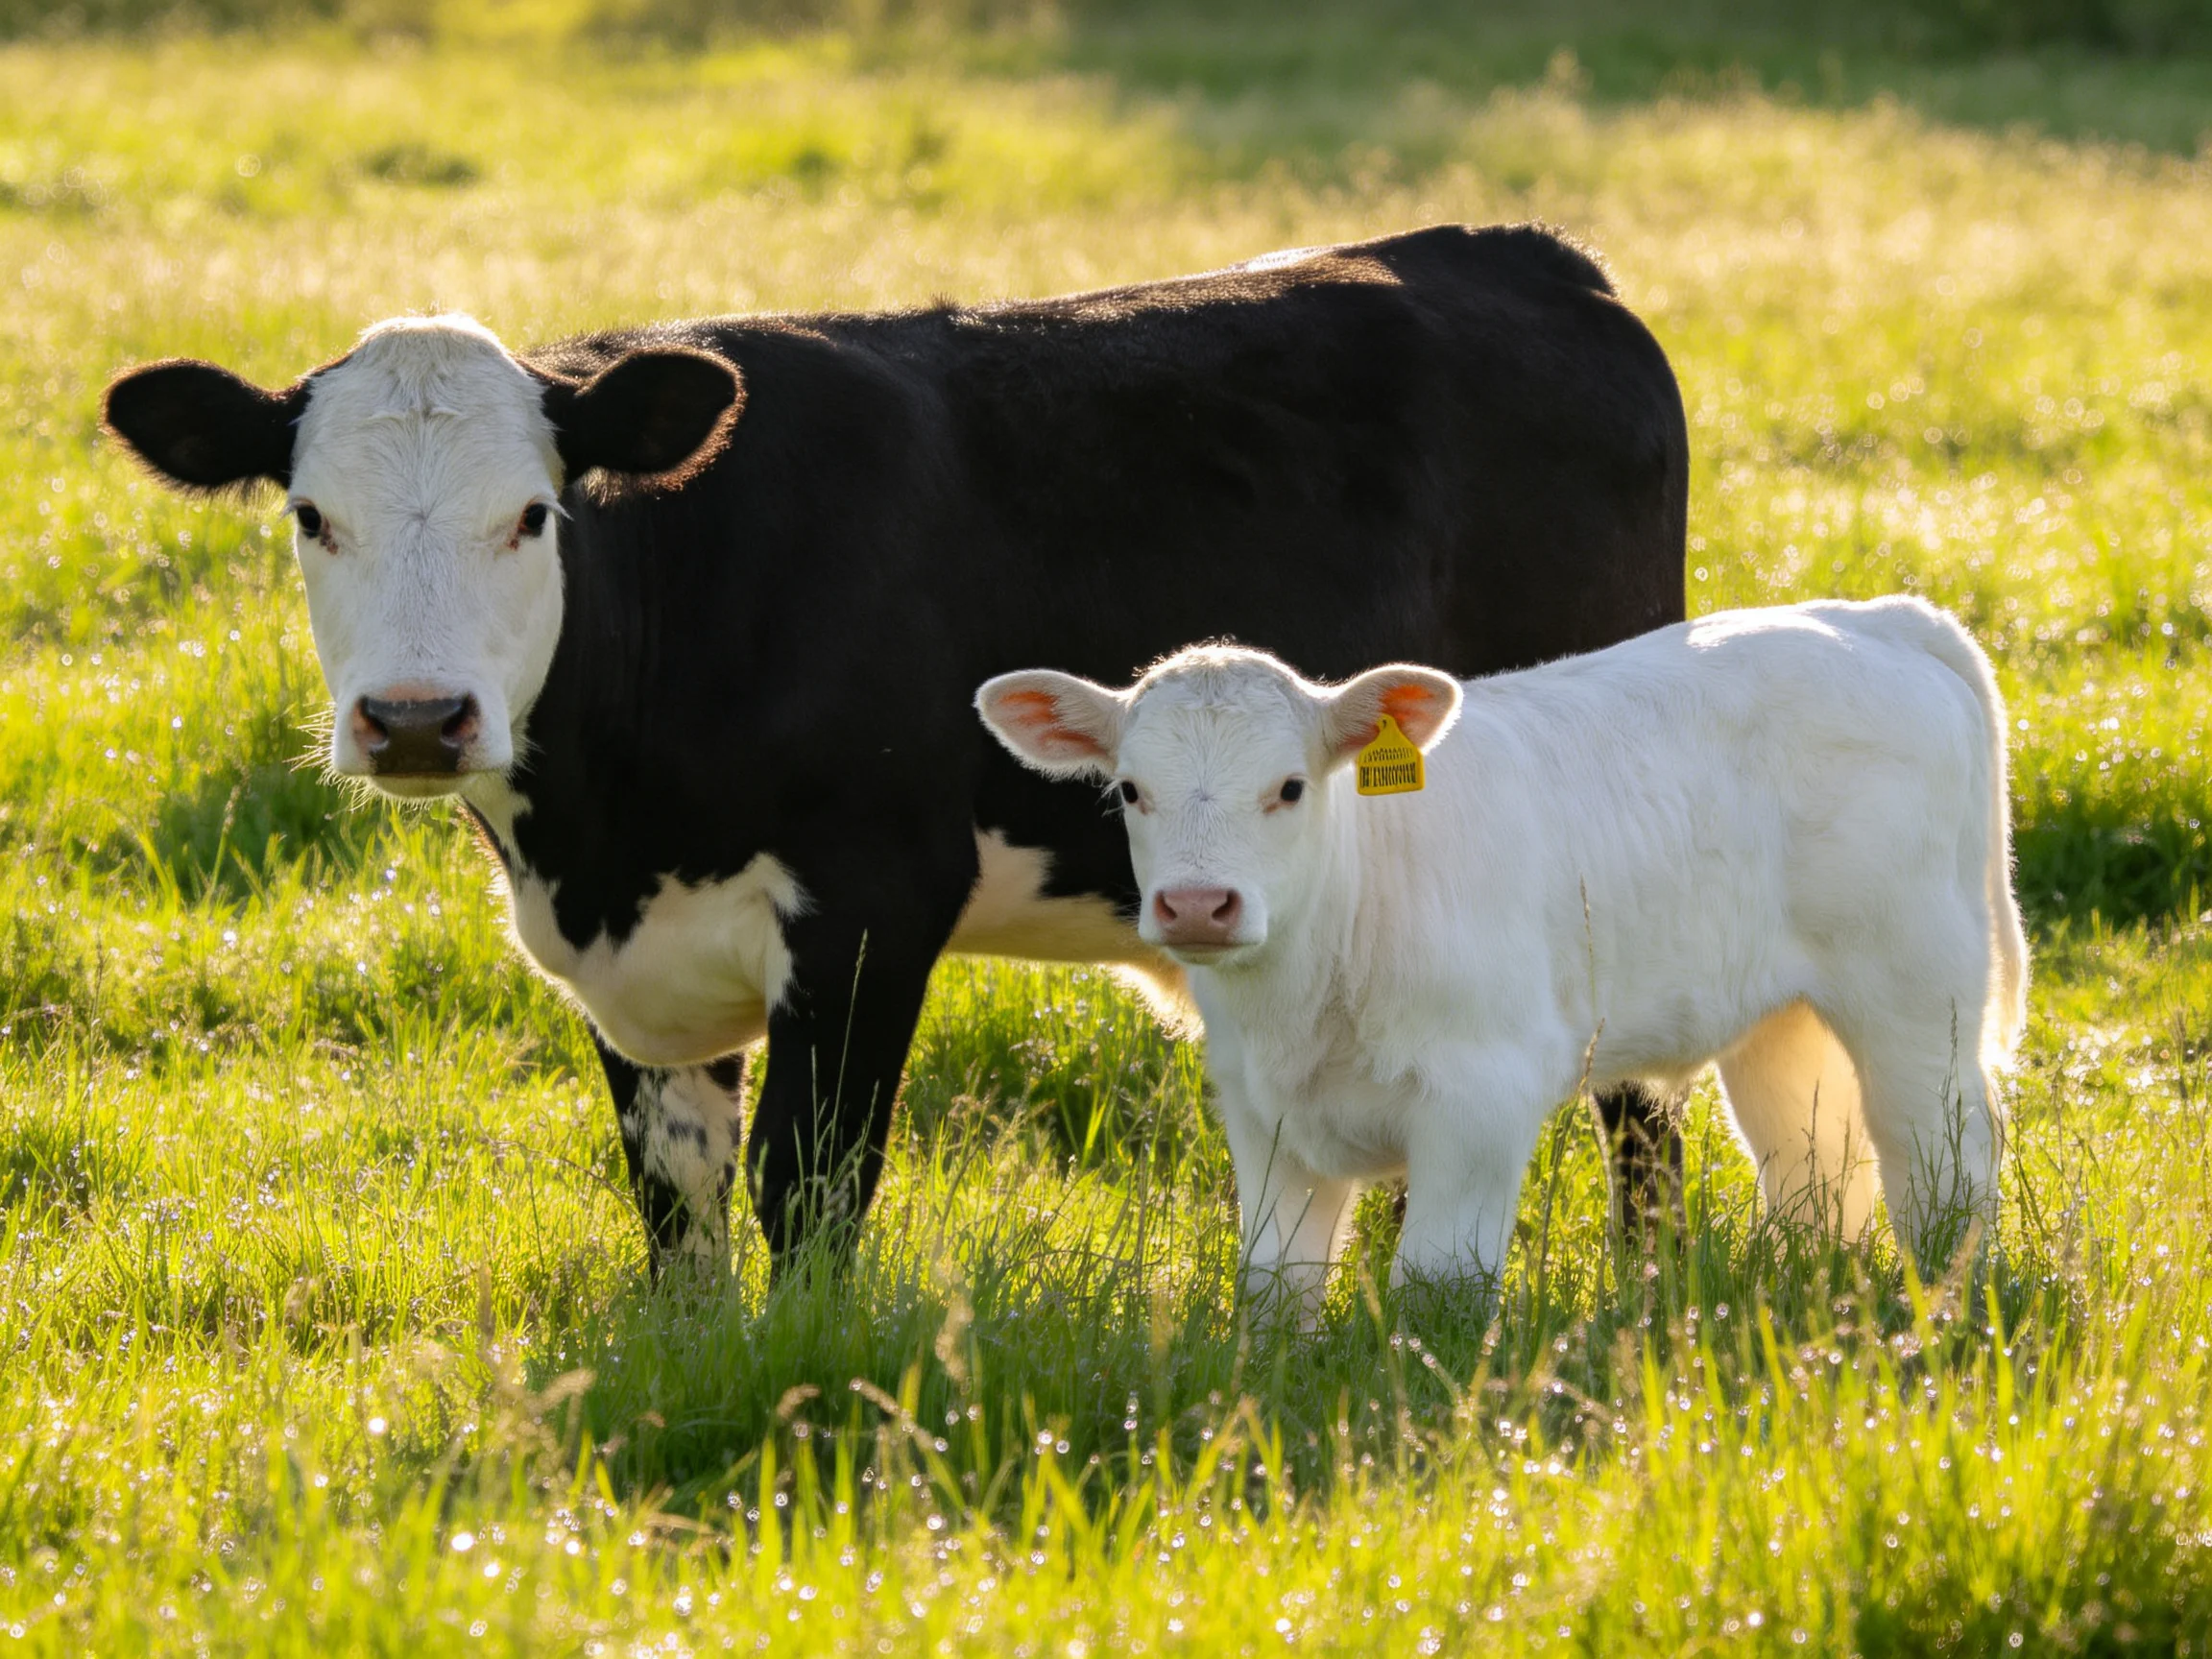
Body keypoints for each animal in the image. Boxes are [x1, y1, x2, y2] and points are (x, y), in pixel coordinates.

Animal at [100, 224, 1690, 1280]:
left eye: (532, 514)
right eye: (312, 517)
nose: (420, 718)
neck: (601, 837)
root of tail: (1522, 255)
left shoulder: (871, 905)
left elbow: (809, 1187)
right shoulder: (630, 969)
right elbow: (677, 1203)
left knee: (1641, 1096)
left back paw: (1649, 1279)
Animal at [977, 598, 2028, 1305]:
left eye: (1288, 787)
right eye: (1131, 790)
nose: (1198, 905)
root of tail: (1871, 617)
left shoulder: (1480, 1095)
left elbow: (1434, 1283)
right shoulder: (1262, 1116)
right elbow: (1276, 1284)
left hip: (1916, 992)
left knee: (1941, 1160)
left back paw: (1945, 1300)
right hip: (1782, 1018)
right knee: (1816, 1167)